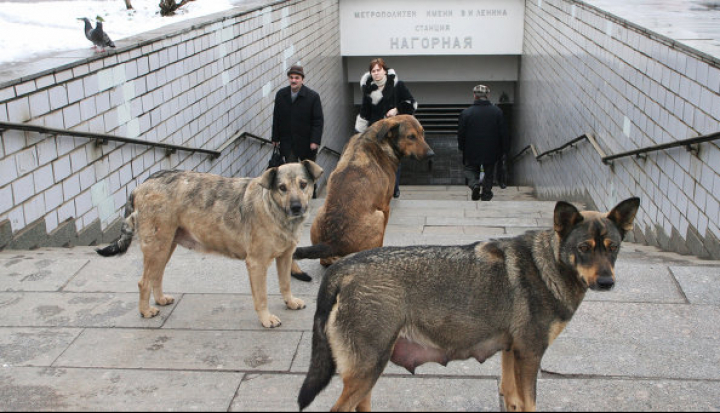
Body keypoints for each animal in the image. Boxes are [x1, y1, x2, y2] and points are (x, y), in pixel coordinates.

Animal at [95, 159, 324, 326]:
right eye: (282, 188)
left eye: (303, 184)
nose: (296, 207)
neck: (273, 210)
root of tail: (141, 185)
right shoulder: (257, 263)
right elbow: (261, 297)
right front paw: (266, 319)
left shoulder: (285, 256)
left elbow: (285, 284)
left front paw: (290, 302)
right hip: (157, 245)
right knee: (144, 281)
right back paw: (145, 311)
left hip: (167, 245)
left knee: (156, 275)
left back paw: (160, 299)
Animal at [292, 112, 434, 276]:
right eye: (411, 136)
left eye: (423, 133)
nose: (431, 154)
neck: (375, 136)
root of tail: (331, 243)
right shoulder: (385, 206)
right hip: (378, 216)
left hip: (320, 212)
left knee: (324, 261)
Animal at [298, 198, 640, 410]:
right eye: (584, 248)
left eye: (613, 248)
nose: (607, 282)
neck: (549, 265)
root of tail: (342, 268)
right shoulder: (530, 354)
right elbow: (530, 403)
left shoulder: (512, 353)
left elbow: (513, 400)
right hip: (368, 367)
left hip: (369, 369)